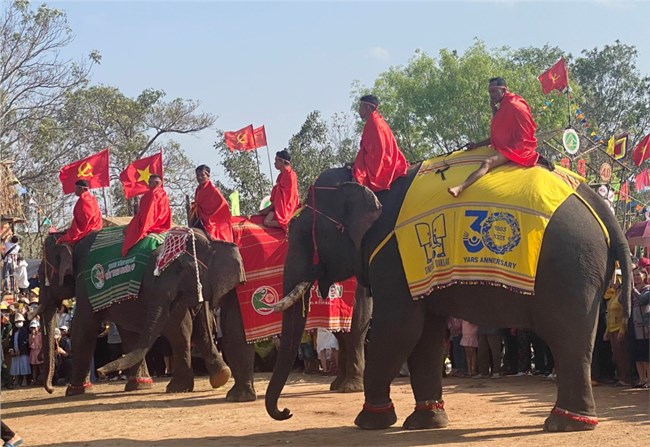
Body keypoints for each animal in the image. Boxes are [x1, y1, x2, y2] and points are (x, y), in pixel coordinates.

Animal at [38, 229, 246, 398]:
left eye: (41, 274)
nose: (50, 389)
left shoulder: (84, 284)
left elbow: (83, 327)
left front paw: (74, 391)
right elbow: (129, 332)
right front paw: (140, 386)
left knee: (179, 333)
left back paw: (177, 387)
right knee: (201, 329)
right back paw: (220, 377)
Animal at [262, 165, 628, 434]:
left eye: (299, 234)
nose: (286, 411)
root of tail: (597, 202)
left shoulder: (392, 258)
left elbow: (397, 331)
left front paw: (370, 423)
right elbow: (426, 337)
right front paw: (425, 423)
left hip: (570, 266)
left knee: (566, 338)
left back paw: (564, 424)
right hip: (583, 270)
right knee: (577, 339)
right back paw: (572, 422)